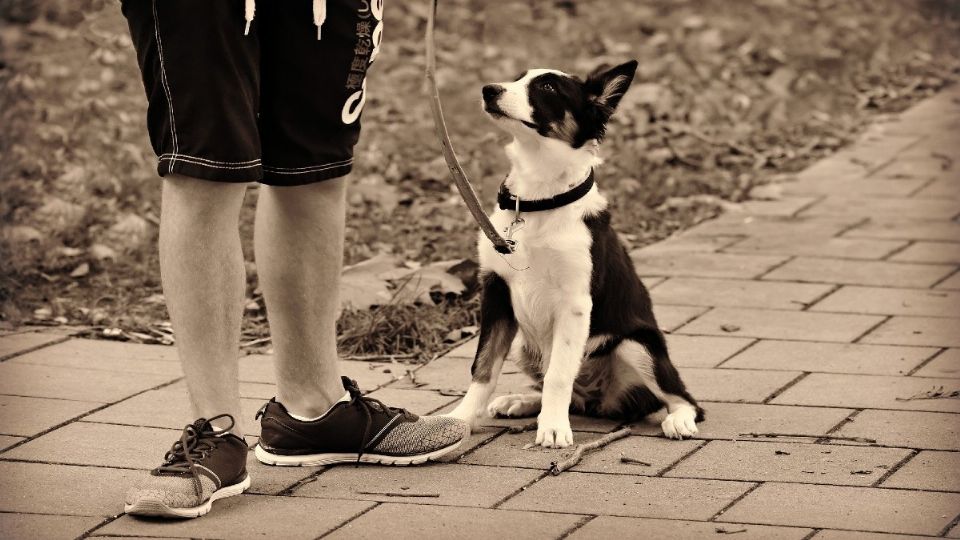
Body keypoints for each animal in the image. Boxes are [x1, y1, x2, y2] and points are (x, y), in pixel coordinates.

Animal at [446, 59, 700, 448]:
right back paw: (522, 401)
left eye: (548, 88)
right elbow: (484, 366)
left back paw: (679, 420)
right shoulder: (496, 291)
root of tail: (600, 400)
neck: (537, 200)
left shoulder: (575, 303)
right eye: (517, 78)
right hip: (523, 343)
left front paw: (553, 427)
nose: (489, 90)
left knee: (683, 398)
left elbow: (559, 374)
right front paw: (459, 419)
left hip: (635, 344)